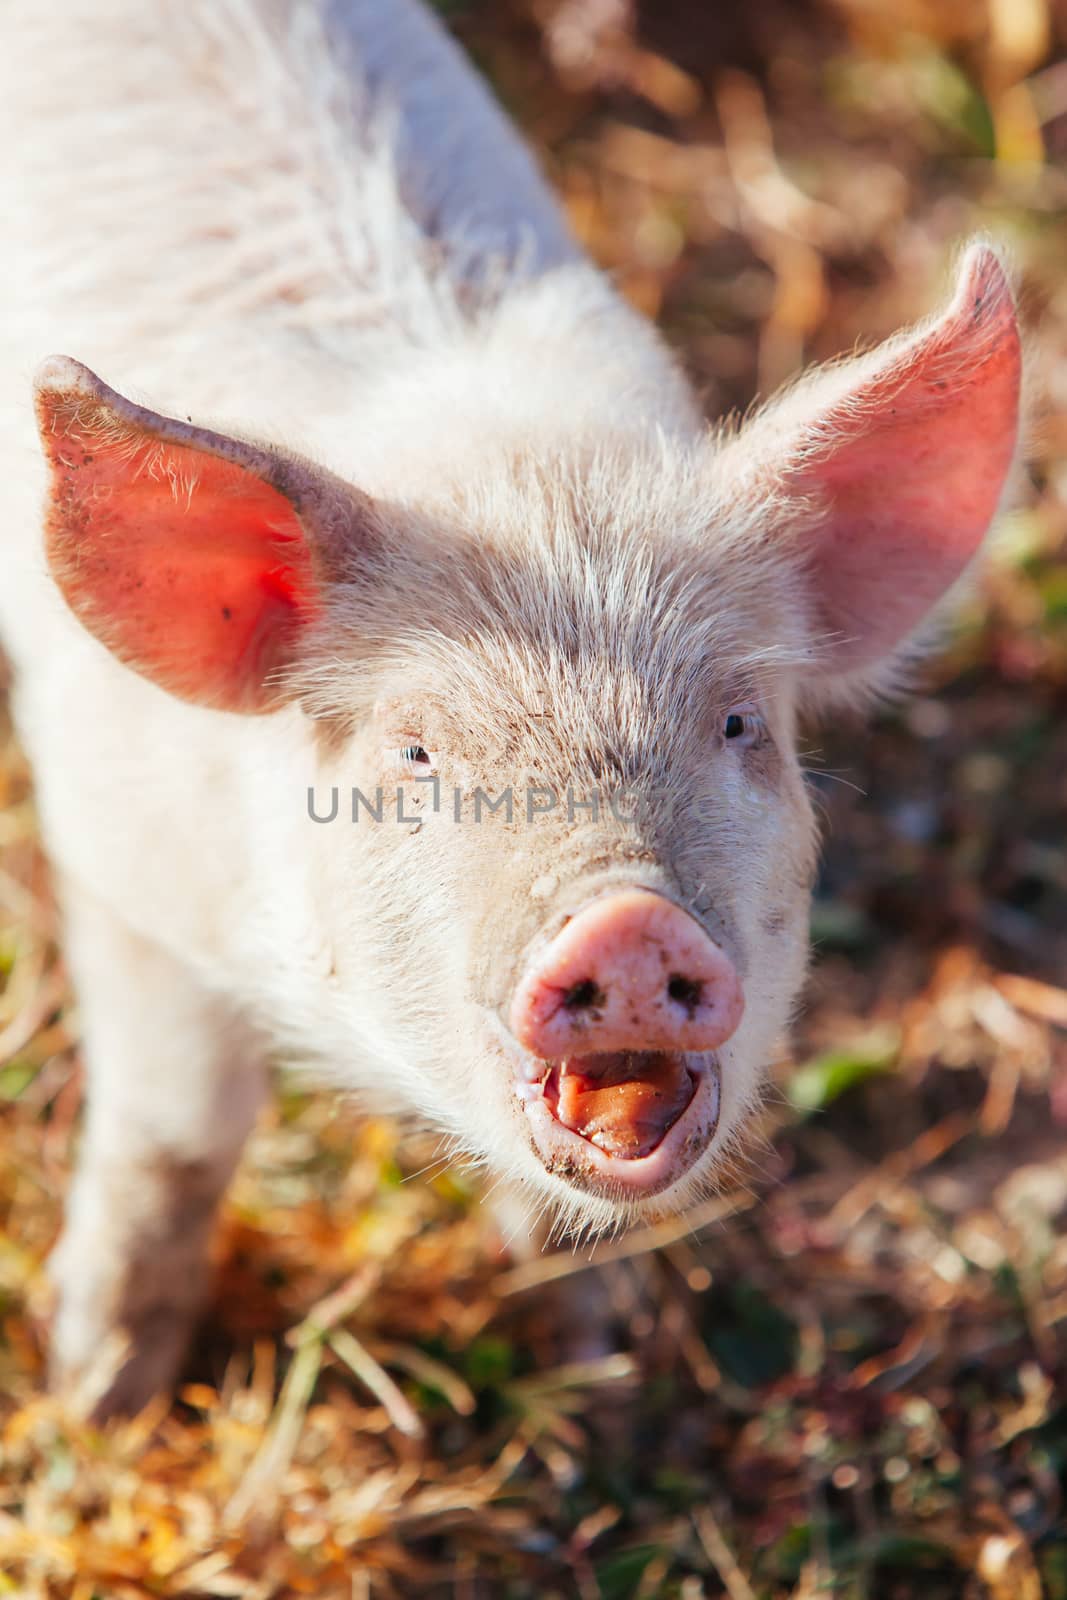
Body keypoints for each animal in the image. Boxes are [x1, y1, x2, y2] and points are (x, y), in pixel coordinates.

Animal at [0, 0, 1023, 1414]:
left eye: (737, 723)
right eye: (415, 750)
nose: (628, 921)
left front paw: (589, 1363)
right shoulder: (116, 861)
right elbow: (176, 1136)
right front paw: (99, 1398)